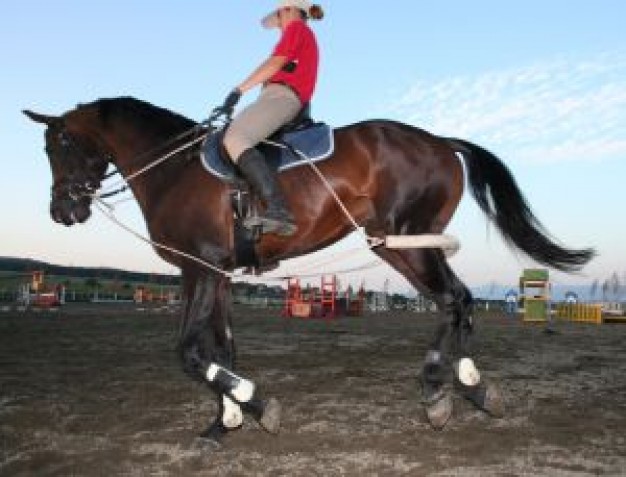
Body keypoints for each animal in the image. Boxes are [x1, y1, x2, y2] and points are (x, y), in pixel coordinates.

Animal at [24, 96, 588, 442]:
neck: (173, 168)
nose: (62, 211)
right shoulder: (214, 274)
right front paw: (224, 422)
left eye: (58, 146)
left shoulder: (202, 269)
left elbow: (189, 352)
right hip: (398, 246)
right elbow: (222, 350)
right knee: (462, 299)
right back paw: (472, 386)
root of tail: (440, 141)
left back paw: (437, 391)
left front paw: (251, 404)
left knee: (452, 300)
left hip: (407, 241)